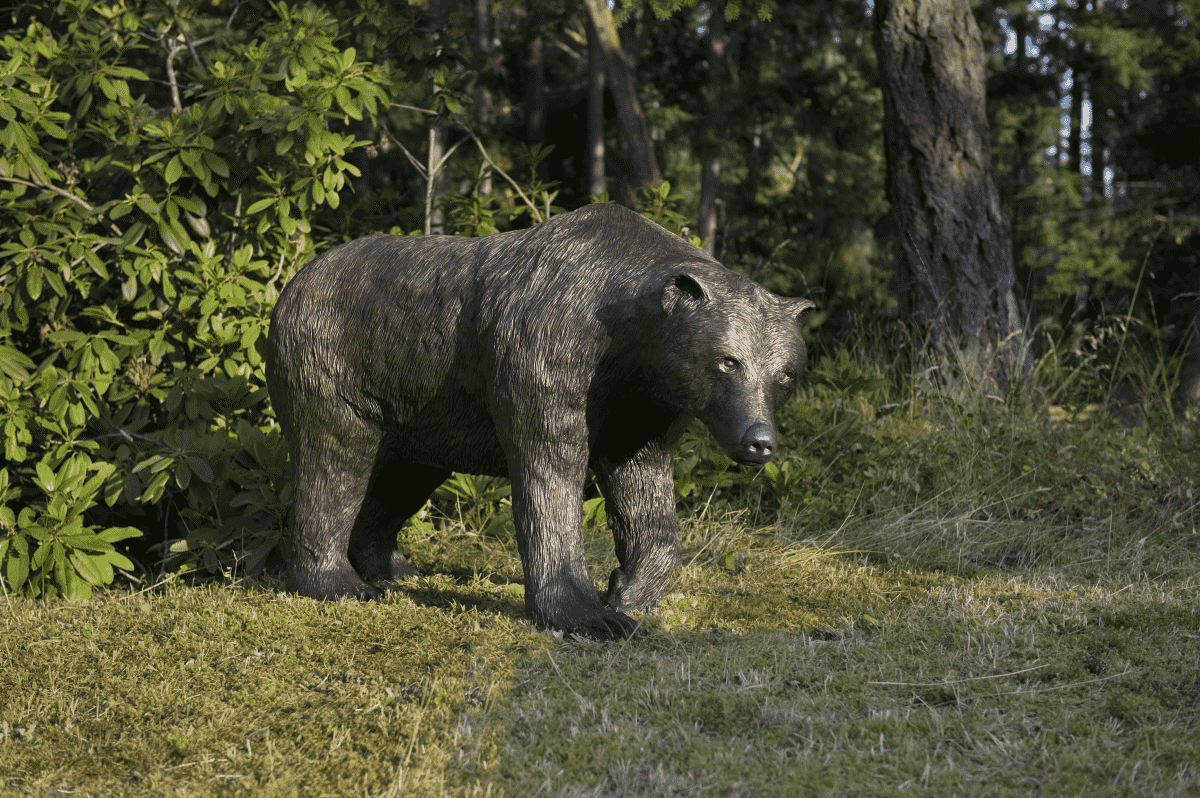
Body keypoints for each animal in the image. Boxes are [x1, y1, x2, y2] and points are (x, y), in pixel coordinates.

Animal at [265, 203, 814, 639]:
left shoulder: (645, 404)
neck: (631, 343)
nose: (759, 440)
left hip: (423, 412)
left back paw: (398, 571)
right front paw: (590, 616)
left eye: (785, 373)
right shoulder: (549, 352)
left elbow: (645, 494)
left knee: (400, 478)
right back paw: (340, 585)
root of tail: (295, 281)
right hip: (332, 360)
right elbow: (549, 471)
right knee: (334, 460)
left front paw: (627, 592)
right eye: (728, 361)